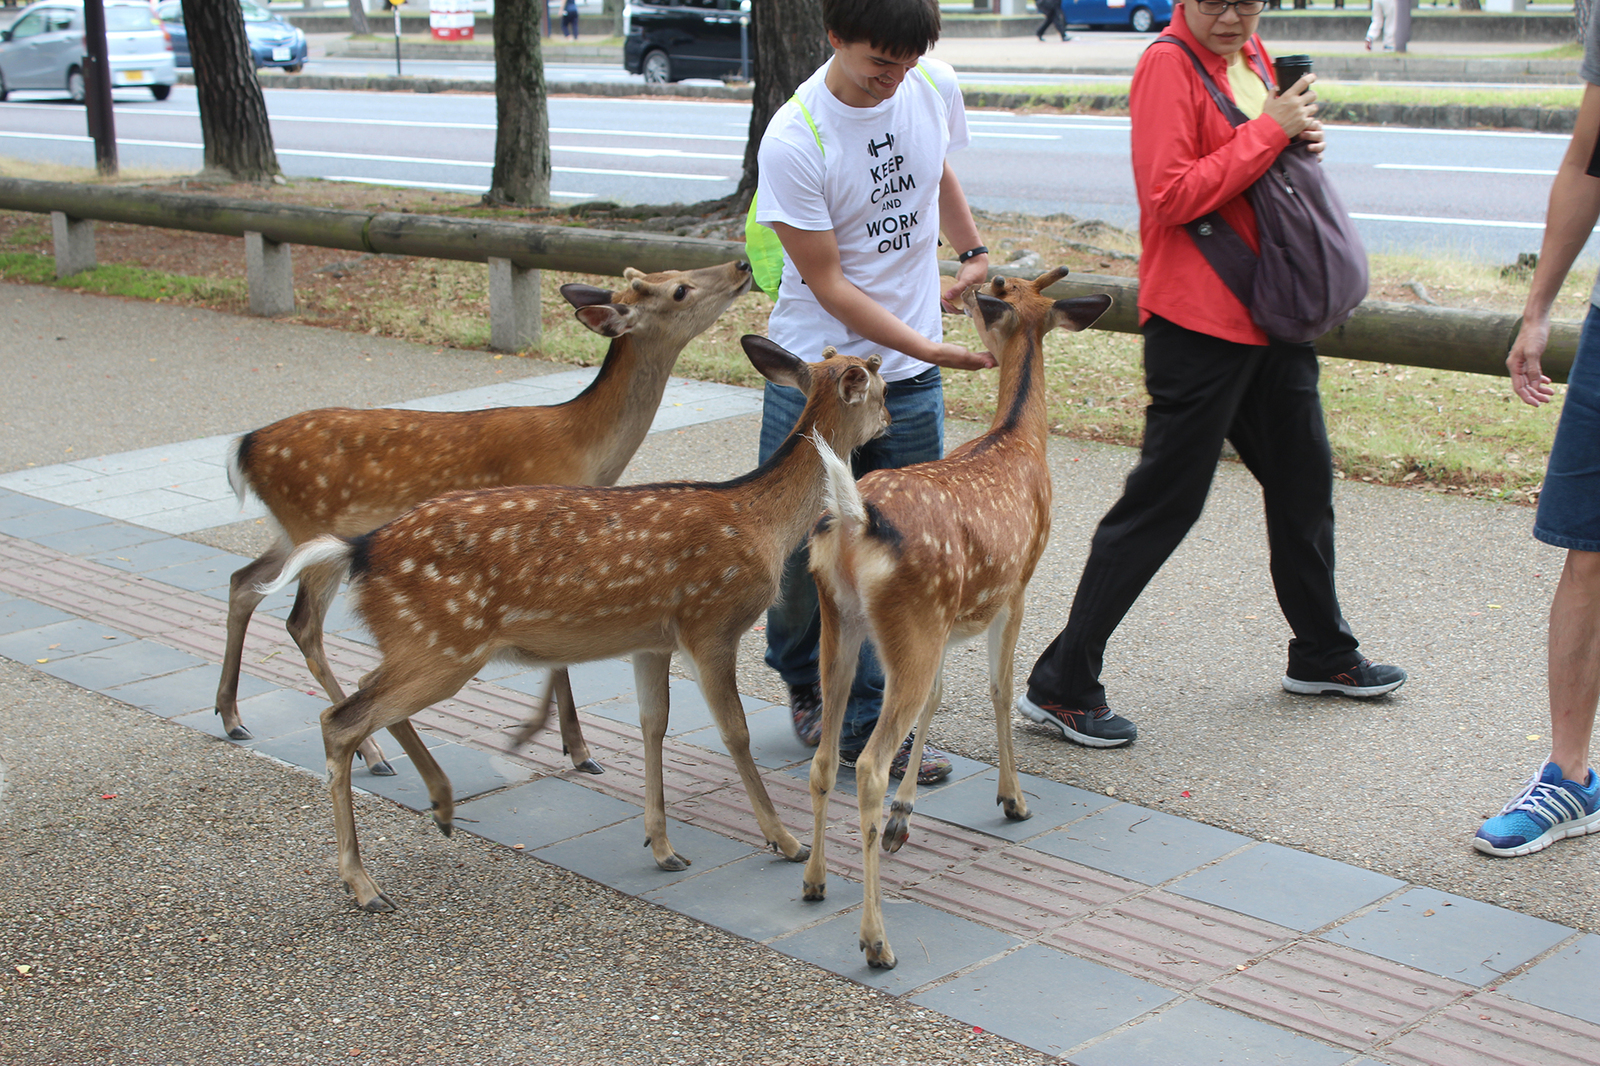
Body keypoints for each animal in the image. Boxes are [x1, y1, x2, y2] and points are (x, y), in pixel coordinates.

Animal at [214, 257, 755, 771]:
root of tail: (244, 446)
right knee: (301, 624)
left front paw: (565, 742)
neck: (582, 447)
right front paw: (575, 748)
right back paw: (372, 753)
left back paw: (232, 716)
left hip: (290, 531)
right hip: (313, 522)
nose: (742, 265)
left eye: (672, 274)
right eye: (679, 288)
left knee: (244, 582)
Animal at [256, 342, 896, 915]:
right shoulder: (710, 622)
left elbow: (653, 725)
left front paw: (662, 846)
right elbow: (733, 732)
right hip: (444, 642)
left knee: (365, 698)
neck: (762, 522)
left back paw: (438, 804)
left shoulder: (652, 641)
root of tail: (360, 550)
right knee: (340, 720)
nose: (890, 421)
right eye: (880, 385)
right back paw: (364, 884)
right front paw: (785, 842)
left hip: (418, 641)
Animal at [806, 270, 1107, 966]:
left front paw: (904, 818)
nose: (964, 284)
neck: (1019, 438)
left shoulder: (948, 619)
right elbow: (999, 689)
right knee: (867, 765)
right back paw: (876, 941)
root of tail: (854, 522)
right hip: (910, 618)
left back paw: (813, 880)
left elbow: (941, 699)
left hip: (847, 622)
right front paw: (1013, 799)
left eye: (1009, 286)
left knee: (827, 756)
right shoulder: (1017, 585)